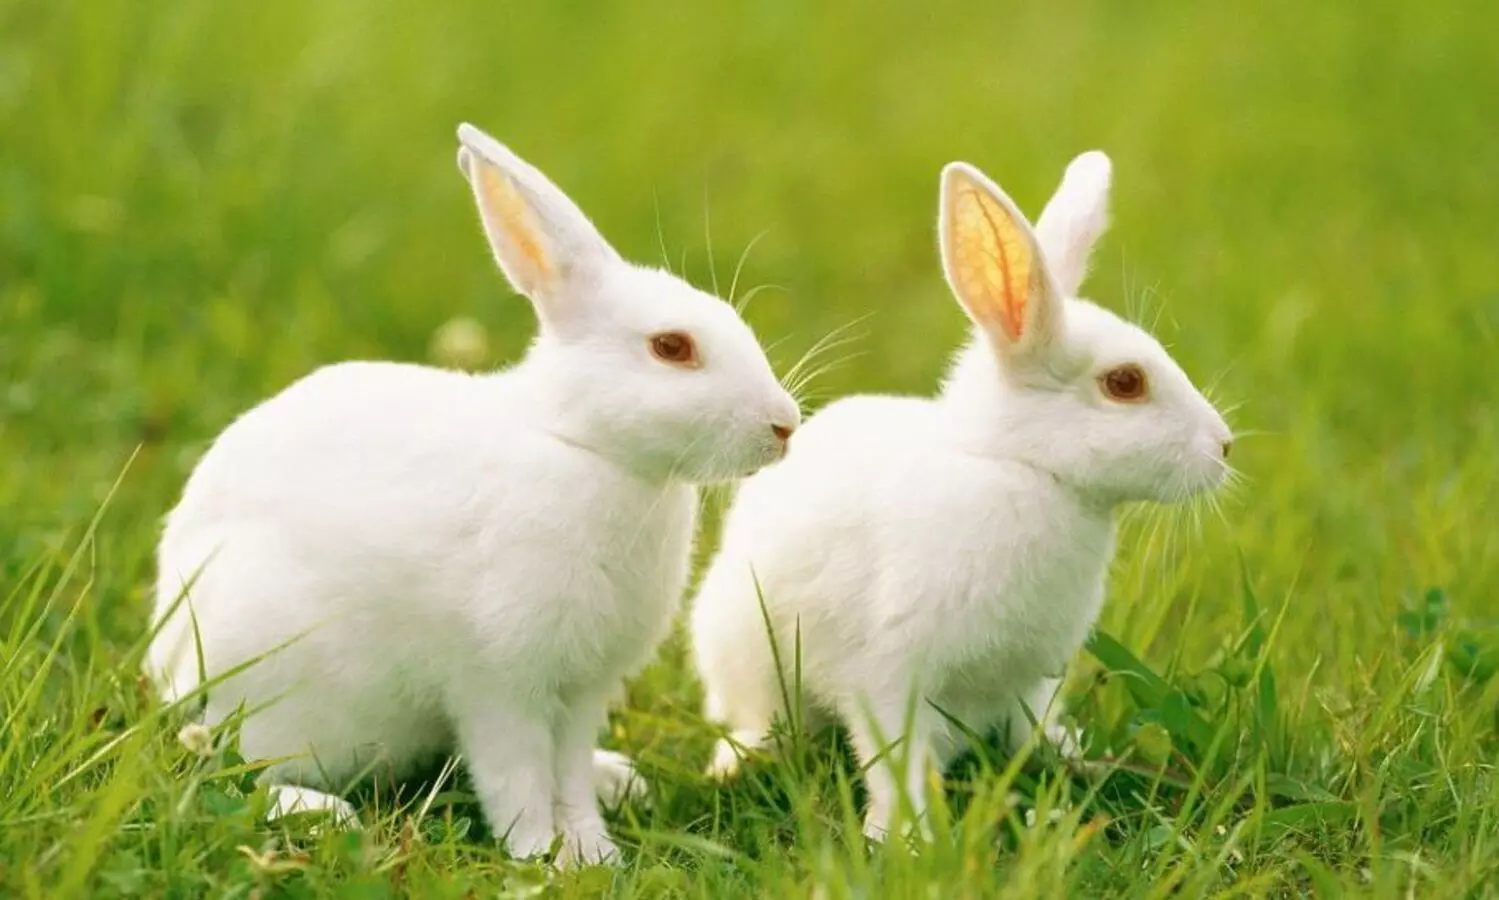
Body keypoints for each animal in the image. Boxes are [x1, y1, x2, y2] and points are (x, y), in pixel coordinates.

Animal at [146, 122, 801, 866]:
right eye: (671, 347)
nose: (784, 425)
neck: (582, 446)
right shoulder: (497, 683)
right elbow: (516, 777)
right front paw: (541, 855)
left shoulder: (581, 691)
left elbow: (567, 774)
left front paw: (591, 849)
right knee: (236, 770)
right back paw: (323, 812)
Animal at [688, 152, 1233, 841]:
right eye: (1125, 383)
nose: (1223, 446)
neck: (1020, 468)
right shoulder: (891, 677)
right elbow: (896, 762)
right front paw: (905, 838)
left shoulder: (1027, 681)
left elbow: (1027, 731)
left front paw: (1065, 761)